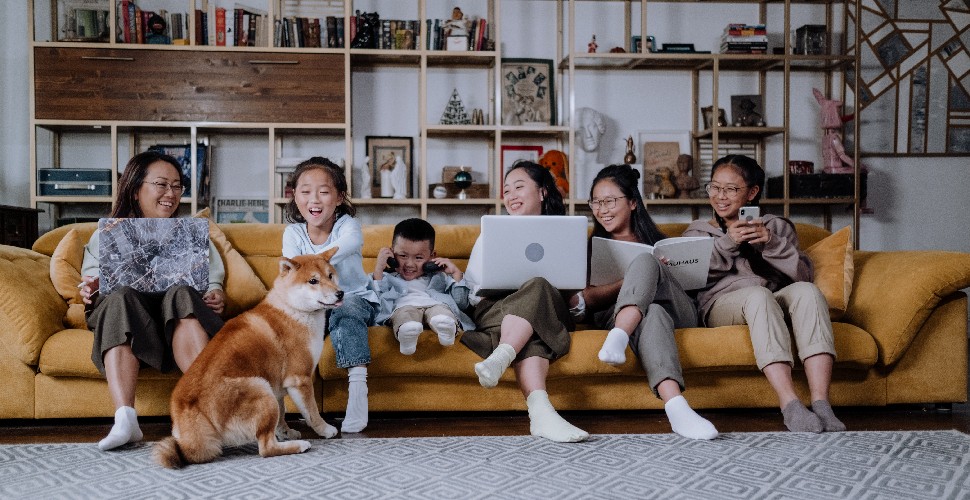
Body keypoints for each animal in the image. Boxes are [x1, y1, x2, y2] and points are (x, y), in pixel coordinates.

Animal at [155, 250, 344, 468]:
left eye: (330, 275)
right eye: (313, 281)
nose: (340, 293)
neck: (292, 309)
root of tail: (192, 413)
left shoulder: (277, 385)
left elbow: (282, 414)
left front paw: (285, 432)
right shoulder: (300, 379)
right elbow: (312, 413)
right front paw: (325, 429)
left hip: (266, 390)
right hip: (260, 388)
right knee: (266, 448)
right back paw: (300, 445)